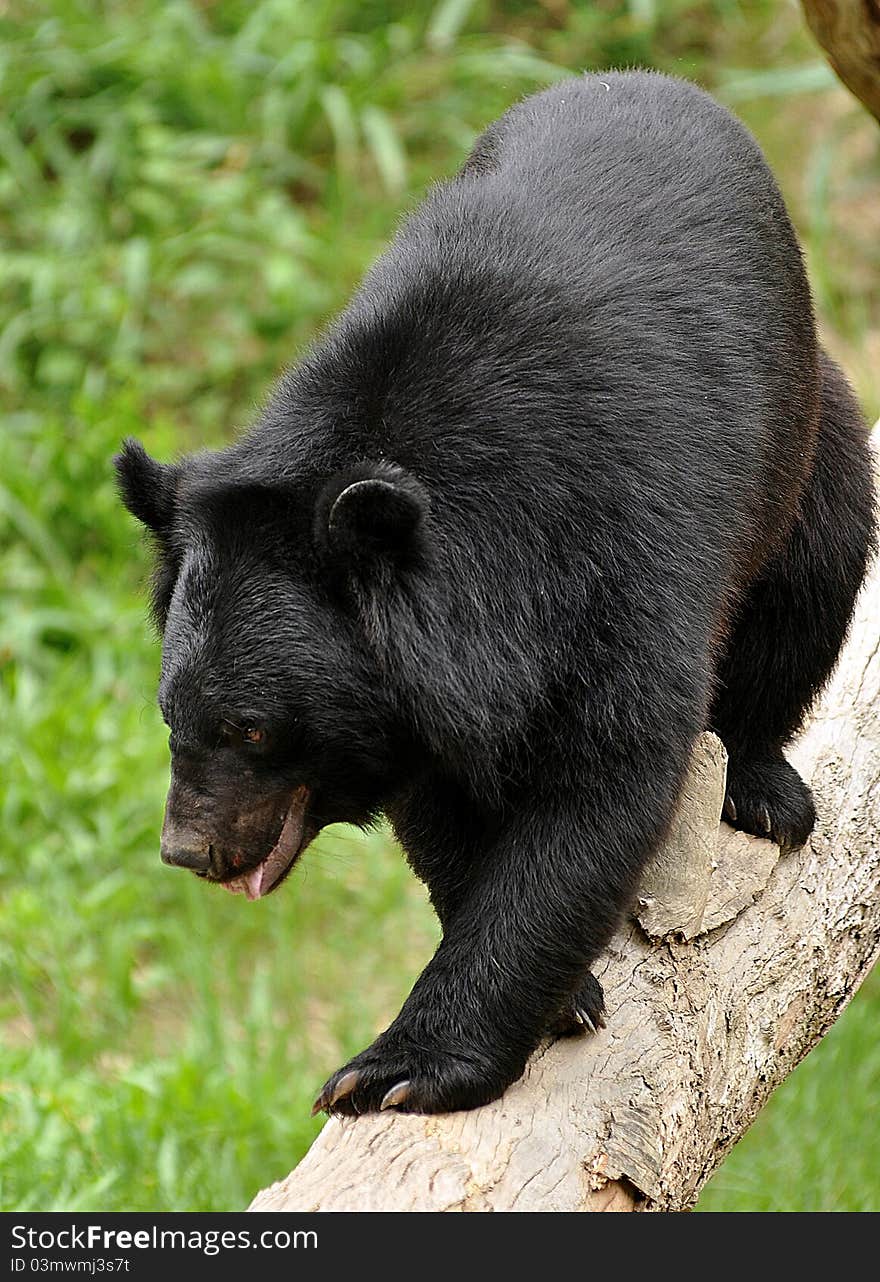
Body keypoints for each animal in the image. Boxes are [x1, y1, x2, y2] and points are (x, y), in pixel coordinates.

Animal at [115, 72, 877, 1112]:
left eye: (254, 730)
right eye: (170, 715)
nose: (188, 851)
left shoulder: (616, 557)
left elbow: (599, 790)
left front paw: (397, 1069)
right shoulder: (414, 704)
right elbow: (447, 815)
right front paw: (562, 998)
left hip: (804, 441)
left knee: (812, 580)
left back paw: (763, 788)